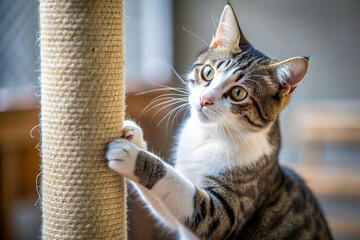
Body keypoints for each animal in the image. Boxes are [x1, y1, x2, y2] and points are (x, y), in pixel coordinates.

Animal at [106, 4, 332, 240]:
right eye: (208, 72)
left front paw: (132, 156)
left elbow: (185, 192)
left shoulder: (228, 211)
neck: (209, 134)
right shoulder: (175, 218)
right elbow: (166, 208)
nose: (205, 100)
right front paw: (134, 137)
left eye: (238, 93)